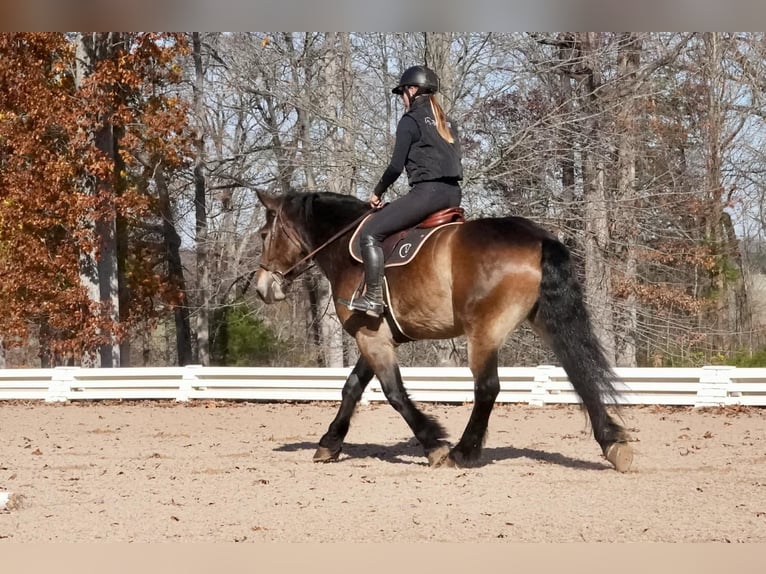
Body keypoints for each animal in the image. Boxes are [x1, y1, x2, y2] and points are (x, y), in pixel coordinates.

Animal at [253, 188, 634, 472]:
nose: (261, 288)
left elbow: (393, 393)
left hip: (484, 332)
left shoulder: (371, 337)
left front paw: (433, 443)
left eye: (263, 235)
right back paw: (612, 443)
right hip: (546, 322)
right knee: (581, 374)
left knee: (487, 388)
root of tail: (538, 237)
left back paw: (463, 452)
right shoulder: (376, 336)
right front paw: (329, 443)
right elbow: (351, 388)